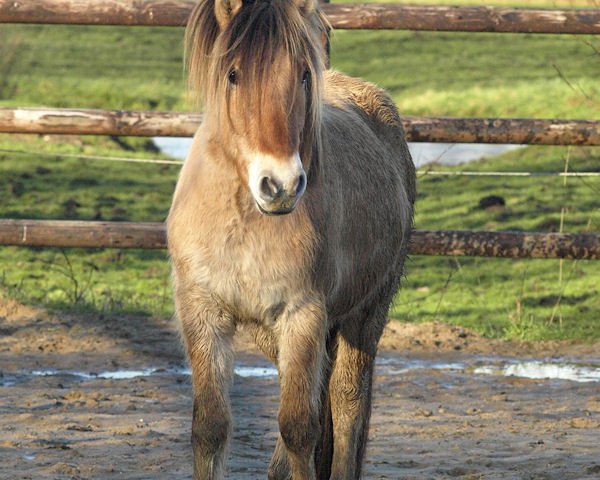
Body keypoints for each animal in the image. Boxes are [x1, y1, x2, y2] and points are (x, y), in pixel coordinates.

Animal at [166, 0, 414, 478]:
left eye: (302, 74)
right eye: (233, 74)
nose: (280, 185)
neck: (244, 223)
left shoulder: (303, 315)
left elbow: (300, 427)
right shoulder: (201, 312)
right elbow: (210, 427)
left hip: (366, 312)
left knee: (346, 401)